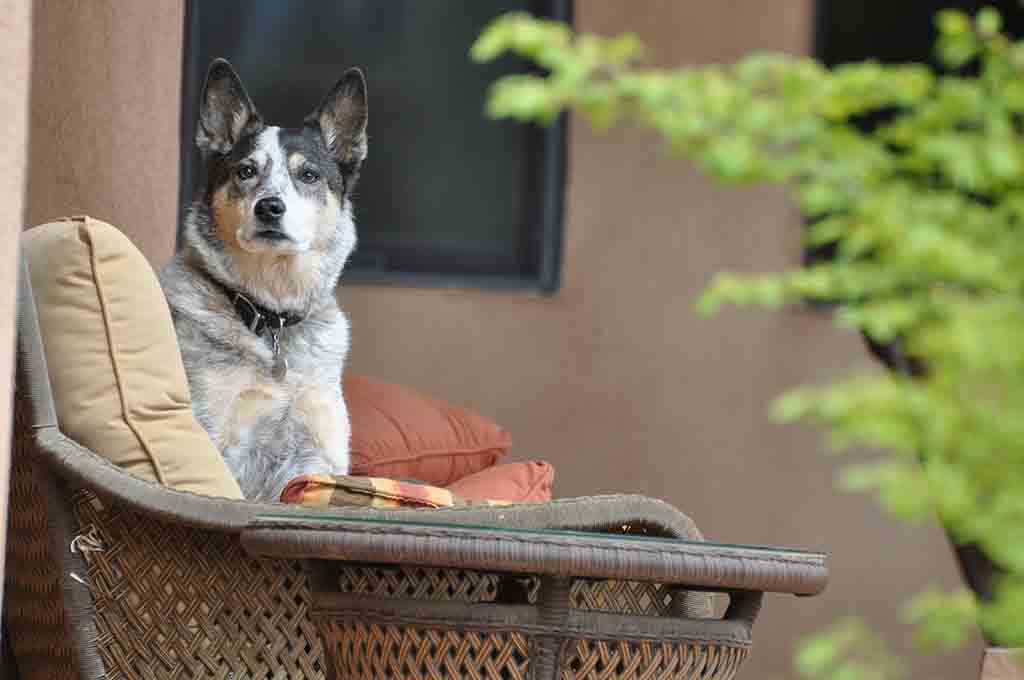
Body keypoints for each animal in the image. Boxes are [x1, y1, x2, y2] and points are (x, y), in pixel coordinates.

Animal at [159, 59, 368, 499]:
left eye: (309, 175)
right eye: (245, 171)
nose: (270, 207)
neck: (272, 317)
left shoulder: (316, 456)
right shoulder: (215, 437)